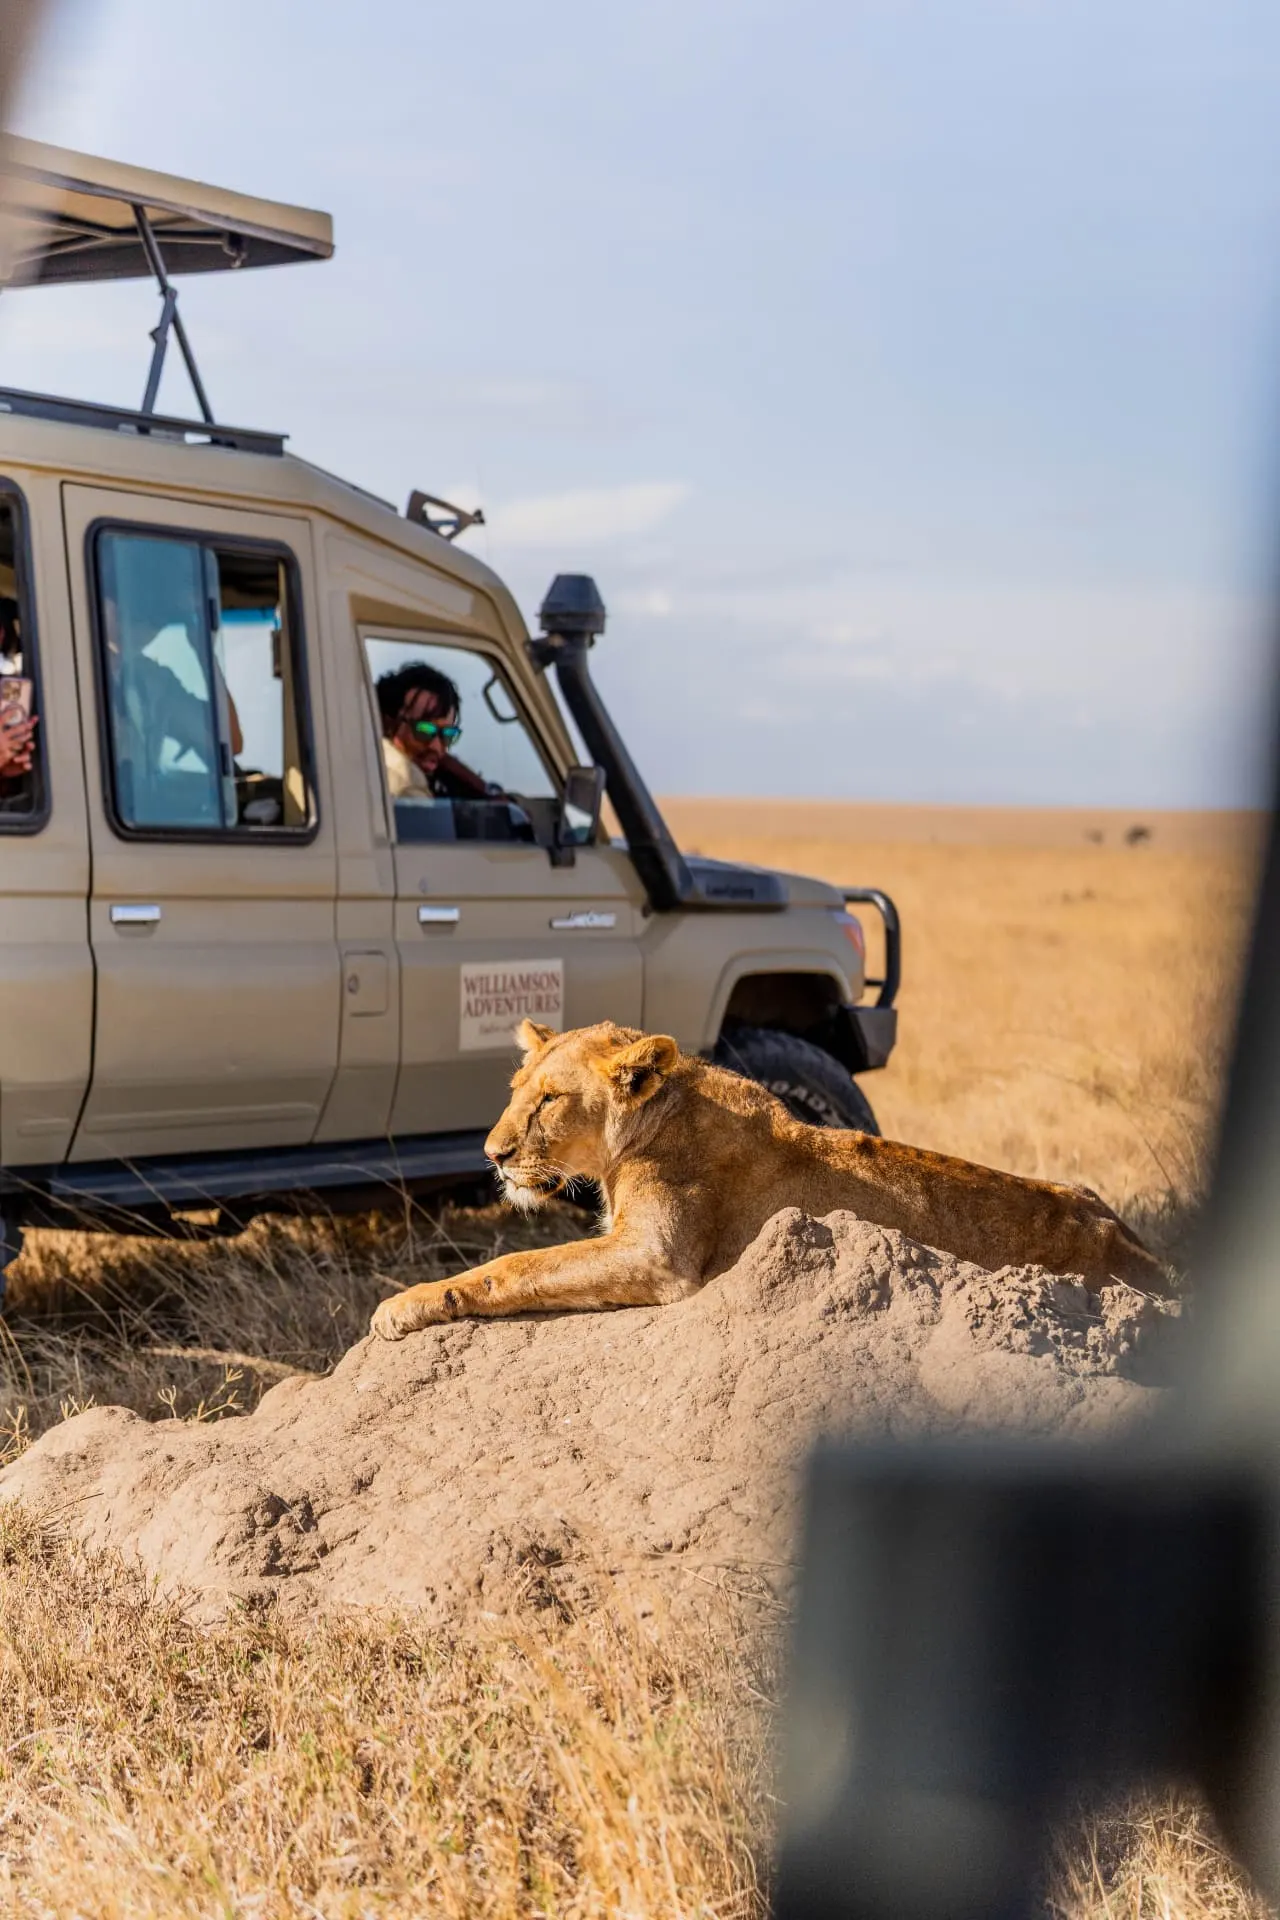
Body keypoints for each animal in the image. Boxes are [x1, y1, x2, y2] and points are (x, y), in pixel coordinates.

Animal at [370, 1020, 1168, 1339]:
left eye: (549, 1100)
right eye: (514, 1090)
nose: (493, 1154)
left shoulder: (660, 1257)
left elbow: (517, 1265)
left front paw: (405, 1304)